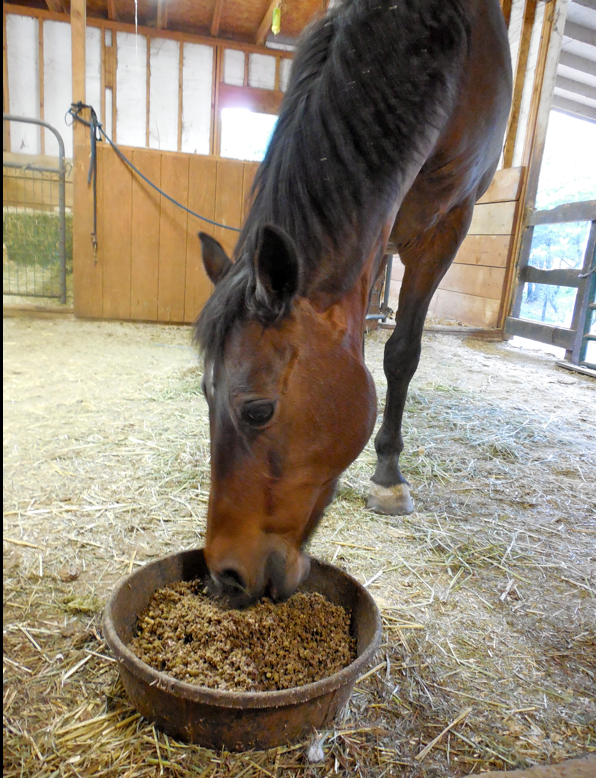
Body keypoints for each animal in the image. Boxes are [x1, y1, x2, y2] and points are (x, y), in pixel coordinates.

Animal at [194, 0, 512, 608]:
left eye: (258, 410)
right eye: (203, 393)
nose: (225, 576)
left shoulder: (447, 225)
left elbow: (402, 354)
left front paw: (388, 476)